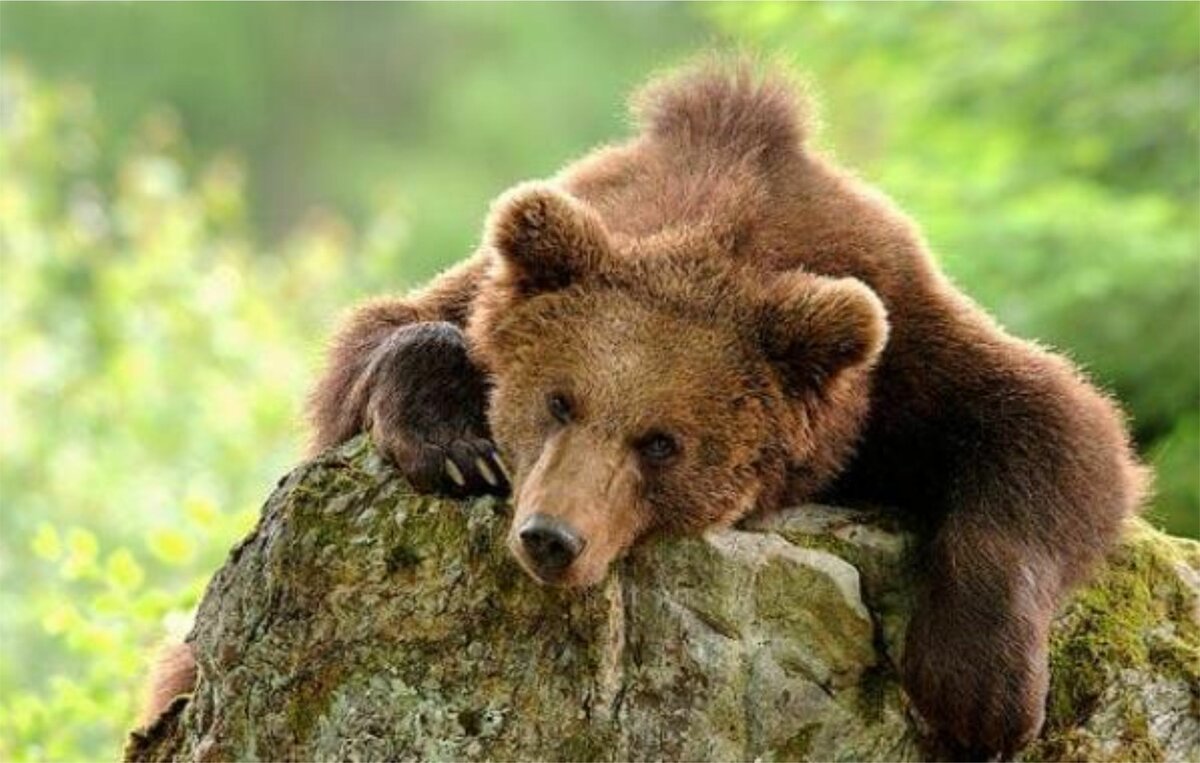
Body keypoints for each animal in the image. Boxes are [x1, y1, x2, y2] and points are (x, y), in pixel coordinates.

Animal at [302, 60, 1146, 758]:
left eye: (662, 441)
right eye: (559, 401)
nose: (552, 536)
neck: (724, 210)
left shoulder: (903, 346)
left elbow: (1053, 423)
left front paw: (977, 694)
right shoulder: (498, 274)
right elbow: (382, 335)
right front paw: (456, 446)